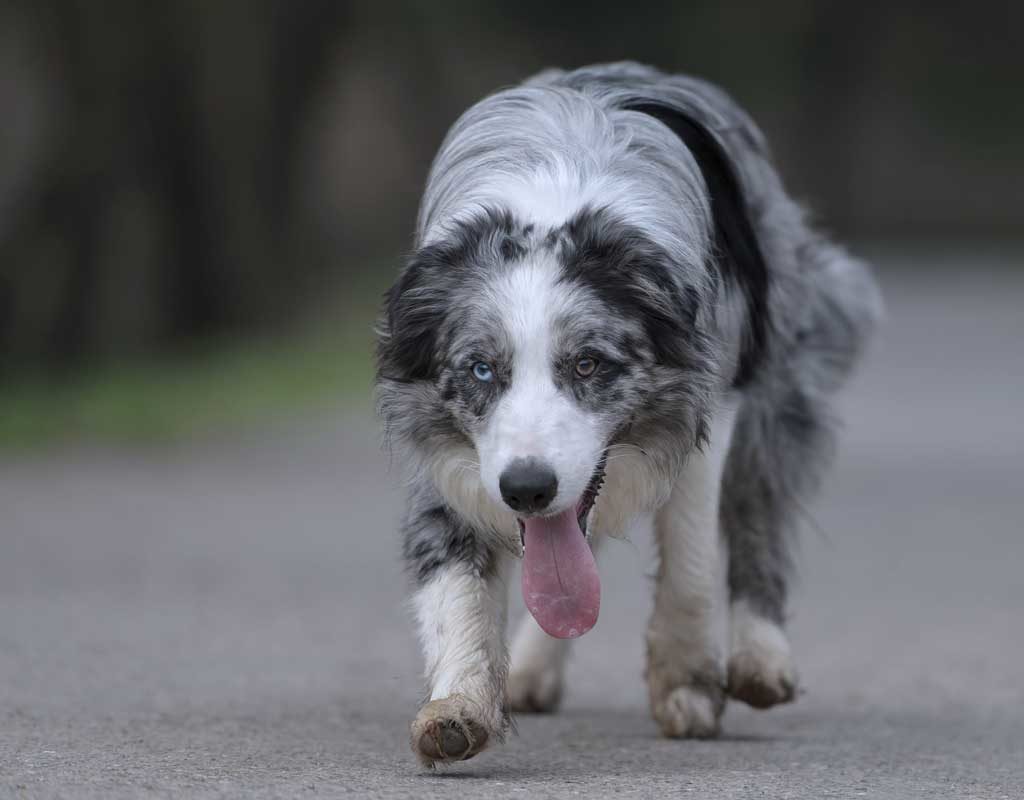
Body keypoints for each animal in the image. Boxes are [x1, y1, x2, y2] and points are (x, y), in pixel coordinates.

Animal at [376, 60, 880, 762]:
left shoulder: (712, 399)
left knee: (756, 513)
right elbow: (455, 576)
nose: (526, 488)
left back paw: (760, 656)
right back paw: (530, 669)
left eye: (588, 364)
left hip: (777, 384)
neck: (552, 201)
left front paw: (688, 681)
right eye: (480, 370)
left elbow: (691, 556)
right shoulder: (448, 442)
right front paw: (460, 705)